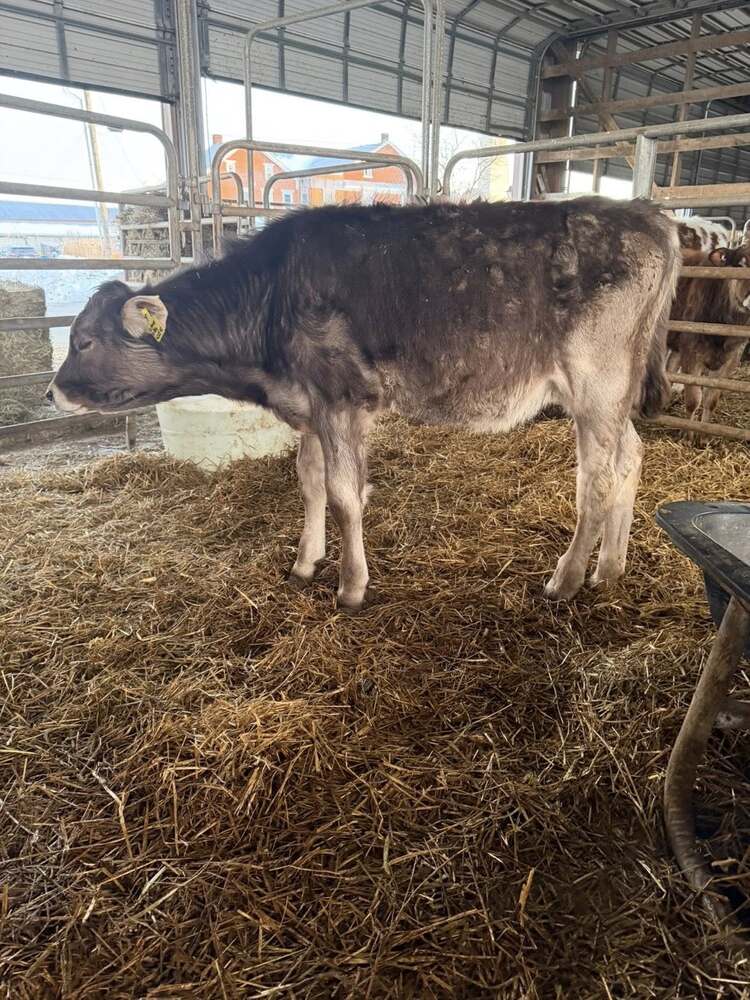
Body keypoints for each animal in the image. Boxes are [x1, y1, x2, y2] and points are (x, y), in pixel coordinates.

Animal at [48, 197, 680, 611]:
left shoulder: (340, 399)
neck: (269, 298)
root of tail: (646, 214)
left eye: (84, 341)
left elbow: (345, 495)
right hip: (610, 395)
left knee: (597, 478)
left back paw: (565, 580)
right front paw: (305, 562)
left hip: (596, 382)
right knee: (631, 456)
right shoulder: (308, 403)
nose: (52, 391)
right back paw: (609, 569)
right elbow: (308, 480)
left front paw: (351, 586)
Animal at [668, 244, 750, 427]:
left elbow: (711, 399)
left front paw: (703, 430)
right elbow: (693, 400)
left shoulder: (731, 358)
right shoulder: (691, 352)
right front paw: (688, 430)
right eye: (741, 265)